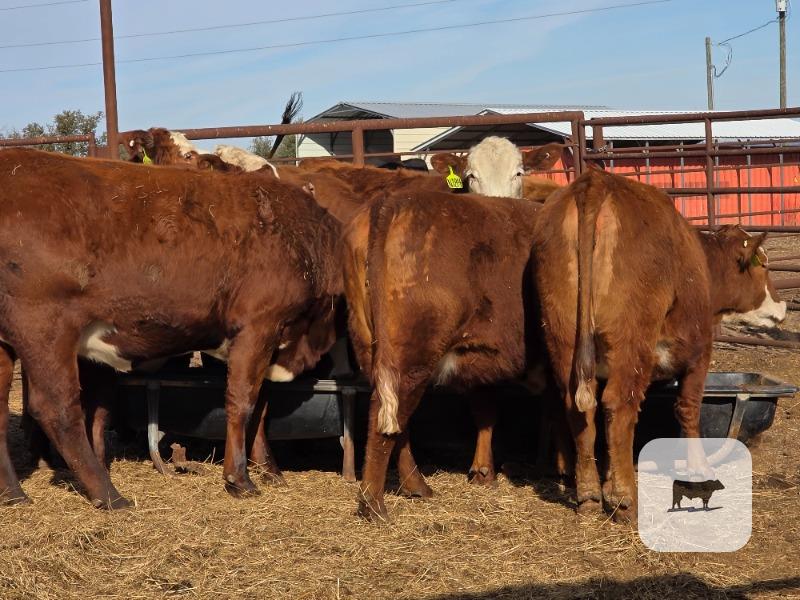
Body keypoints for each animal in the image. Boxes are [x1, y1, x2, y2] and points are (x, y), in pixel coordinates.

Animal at [0, 148, 342, 508]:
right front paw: (238, 478)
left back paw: (14, 493)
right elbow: (243, 402)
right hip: (46, 327)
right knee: (56, 408)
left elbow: (261, 406)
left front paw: (269, 469)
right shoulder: (258, 325)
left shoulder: (270, 339)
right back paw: (108, 494)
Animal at [530, 168, 786, 523]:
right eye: (763, 265)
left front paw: (607, 478)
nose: (782, 307)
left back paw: (590, 495)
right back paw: (626, 499)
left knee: (579, 407)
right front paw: (699, 468)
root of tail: (596, 181)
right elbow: (688, 410)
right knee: (618, 404)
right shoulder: (698, 353)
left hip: (563, 334)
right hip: (632, 340)